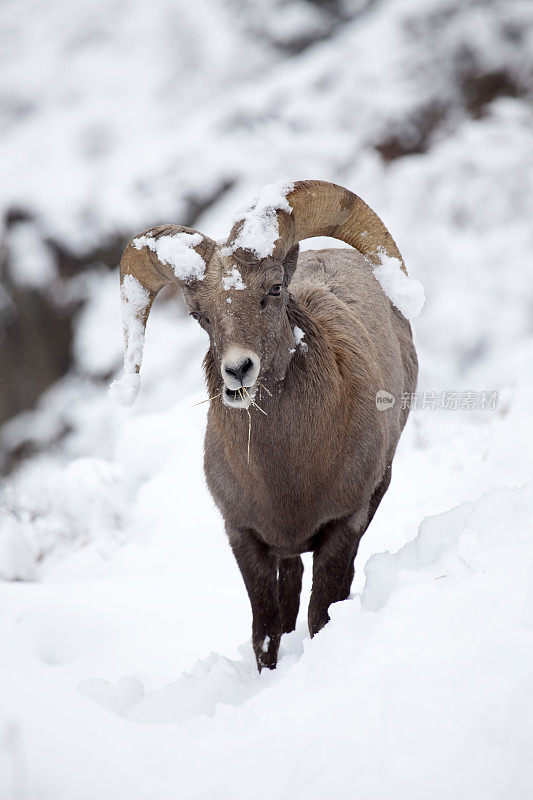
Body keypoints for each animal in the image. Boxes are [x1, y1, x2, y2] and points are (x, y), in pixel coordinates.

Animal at [112, 180, 420, 668]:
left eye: (274, 289)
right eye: (199, 315)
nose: (238, 371)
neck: (285, 478)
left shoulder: (343, 524)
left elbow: (321, 613)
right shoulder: (244, 537)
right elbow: (266, 632)